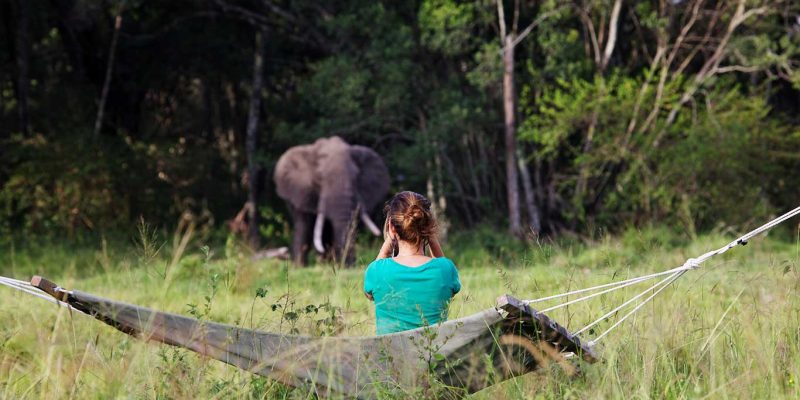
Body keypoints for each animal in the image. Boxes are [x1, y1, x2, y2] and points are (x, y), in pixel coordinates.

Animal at [272, 136, 390, 264]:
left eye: (356, 176)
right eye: (319, 177)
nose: (347, 265)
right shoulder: (302, 191)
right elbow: (304, 225)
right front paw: (300, 266)